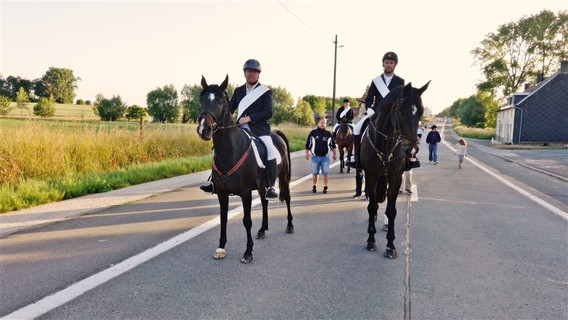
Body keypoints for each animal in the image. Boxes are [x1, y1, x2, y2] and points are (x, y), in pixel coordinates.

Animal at [196, 75, 292, 262]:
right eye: (201, 100)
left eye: (220, 101)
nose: (204, 129)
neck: (230, 151)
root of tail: (276, 134)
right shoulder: (222, 193)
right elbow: (223, 218)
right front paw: (221, 247)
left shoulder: (246, 193)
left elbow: (247, 220)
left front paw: (248, 252)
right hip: (263, 185)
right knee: (264, 201)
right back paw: (263, 230)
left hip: (283, 178)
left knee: (288, 198)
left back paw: (290, 225)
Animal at [362, 81, 428, 258]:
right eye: (402, 112)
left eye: (420, 113)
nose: (412, 150)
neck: (385, 142)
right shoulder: (370, 175)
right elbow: (372, 206)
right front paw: (371, 240)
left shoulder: (395, 177)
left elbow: (391, 210)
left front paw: (390, 245)